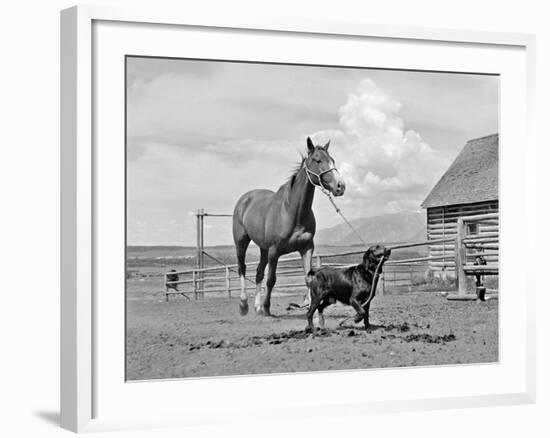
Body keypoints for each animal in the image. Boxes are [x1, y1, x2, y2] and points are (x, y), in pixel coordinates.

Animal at [232, 137, 344, 314]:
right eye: (318, 160)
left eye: (332, 160)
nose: (340, 186)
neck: (292, 211)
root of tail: (244, 199)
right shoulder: (274, 251)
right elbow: (271, 279)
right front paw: (267, 308)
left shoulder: (306, 248)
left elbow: (308, 278)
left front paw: (310, 307)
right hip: (241, 242)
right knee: (242, 268)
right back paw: (244, 304)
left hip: (263, 249)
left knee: (258, 272)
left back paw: (257, 307)